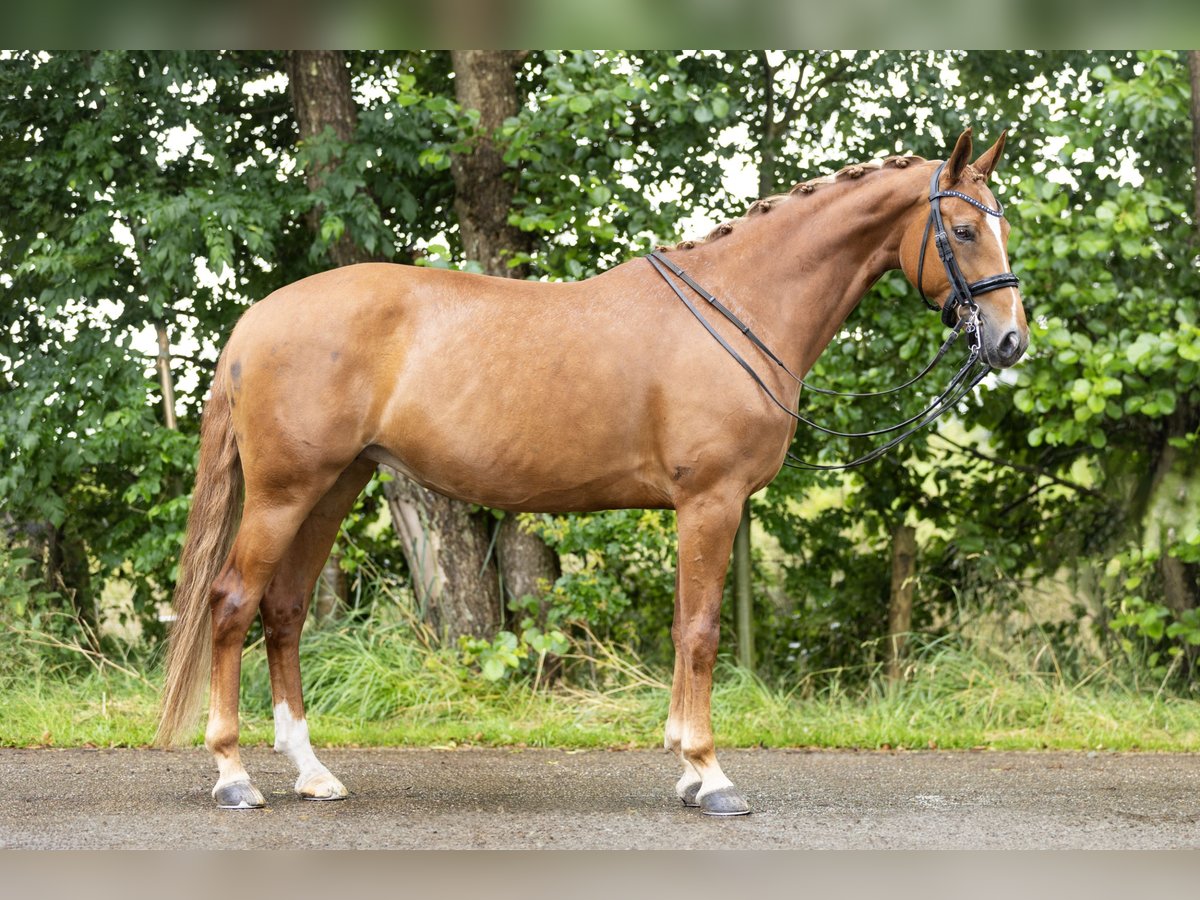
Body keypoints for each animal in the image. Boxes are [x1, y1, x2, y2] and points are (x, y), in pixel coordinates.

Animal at [154, 128, 1027, 816]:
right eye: (960, 227)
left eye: (1002, 225)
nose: (1010, 340)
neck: (741, 305)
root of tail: (256, 320)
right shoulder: (710, 502)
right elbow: (702, 632)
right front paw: (711, 776)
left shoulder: (699, 509)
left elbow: (683, 626)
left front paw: (686, 768)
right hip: (285, 492)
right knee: (232, 603)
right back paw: (234, 775)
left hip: (334, 487)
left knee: (286, 610)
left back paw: (312, 772)